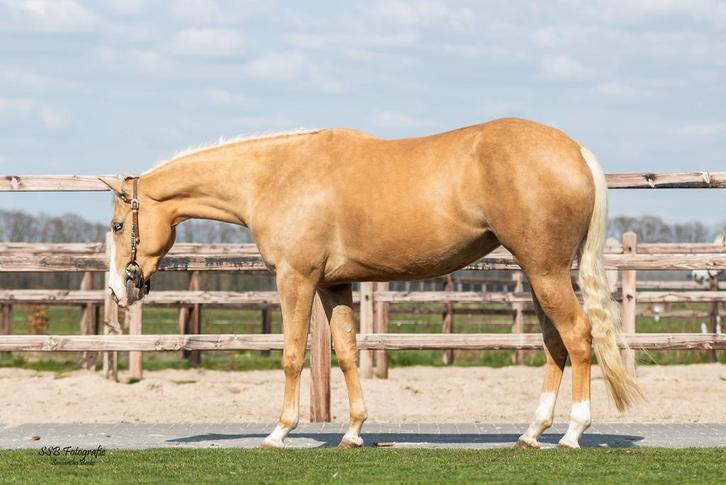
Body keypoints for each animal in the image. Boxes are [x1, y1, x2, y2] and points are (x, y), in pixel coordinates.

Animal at [100, 118, 641, 449]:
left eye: (117, 225)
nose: (118, 290)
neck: (275, 176)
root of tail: (575, 150)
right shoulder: (333, 286)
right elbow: (345, 351)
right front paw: (354, 431)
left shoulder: (295, 279)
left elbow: (293, 354)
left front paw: (279, 432)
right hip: (538, 273)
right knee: (555, 342)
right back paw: (532, 432)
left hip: (545, 271)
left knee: (578, 337)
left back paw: (572, 433)